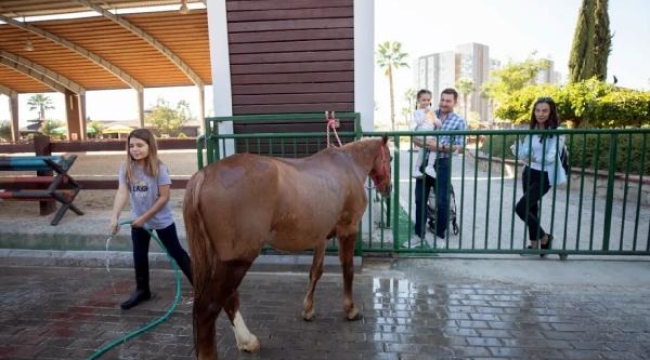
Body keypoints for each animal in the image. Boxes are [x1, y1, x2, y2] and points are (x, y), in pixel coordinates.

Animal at [185, 134, 392, 358]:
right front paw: (350, 309)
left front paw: (308, 309)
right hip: (236, 261)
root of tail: (204, 175)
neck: (348, 164)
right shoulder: (348, 229)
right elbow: (348, 269)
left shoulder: (320, 236)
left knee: (228, 299)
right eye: (389, 158)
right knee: (208, 308)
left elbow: (316, 271)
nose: (388, 188)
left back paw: (247, 340)